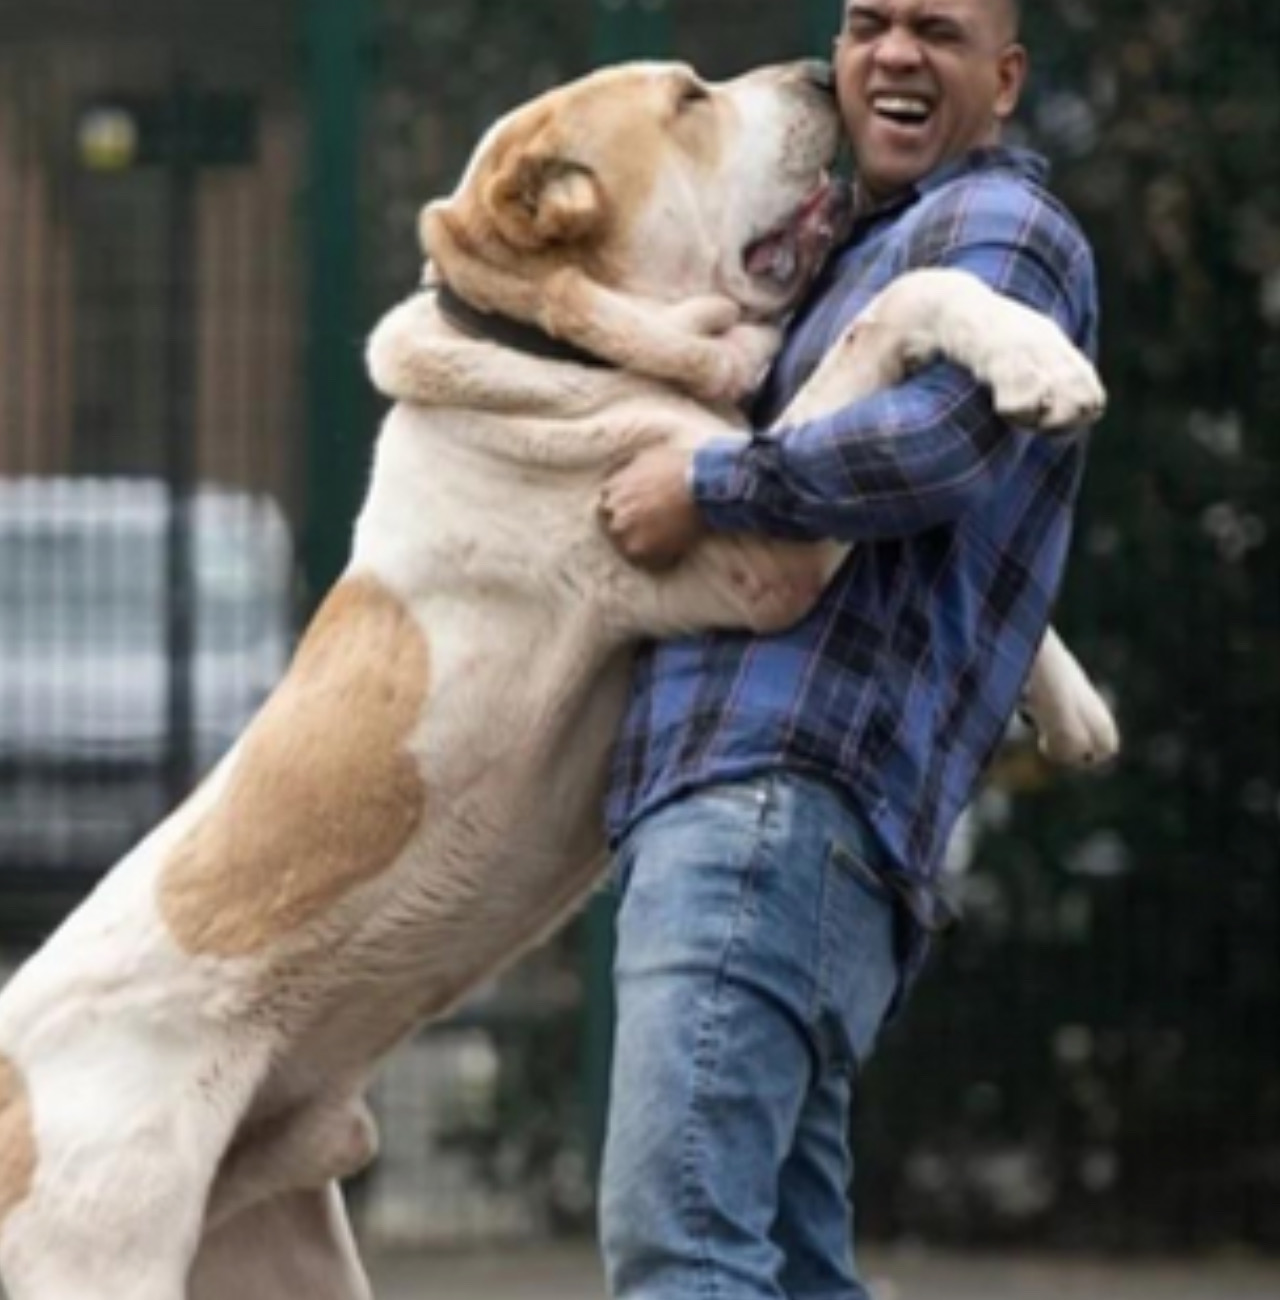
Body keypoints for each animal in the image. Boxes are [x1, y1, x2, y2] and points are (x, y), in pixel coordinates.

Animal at [0, 61, 1112, 1300]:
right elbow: (902, 299)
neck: (547, 350)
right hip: (105, 1245)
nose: (821, 72)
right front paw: (1040, 362)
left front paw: (1071, 702)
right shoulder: (758, 555)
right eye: (687, 99)